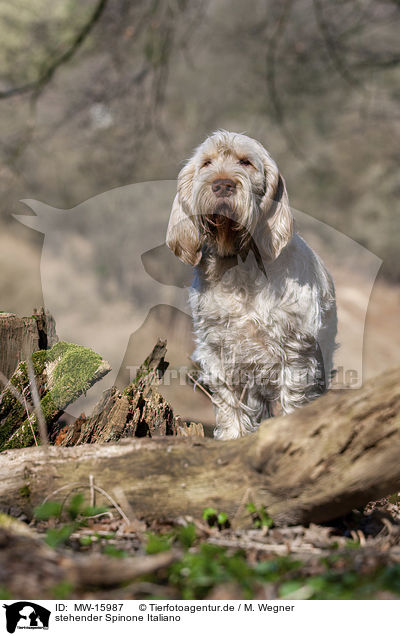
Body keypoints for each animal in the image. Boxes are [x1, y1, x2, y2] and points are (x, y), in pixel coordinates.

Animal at [166, 129, 338, 438]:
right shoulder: (219, 350)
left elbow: (293, 398)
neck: (240, 266)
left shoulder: (295, 351)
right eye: (207, 163)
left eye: (246, 162)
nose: (222, 185)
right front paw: (233, 438)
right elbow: (230, 405)